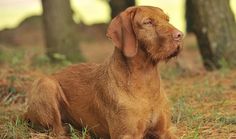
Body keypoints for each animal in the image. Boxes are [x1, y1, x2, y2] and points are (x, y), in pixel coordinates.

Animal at [26, 6, 184, 139]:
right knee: (57, 130)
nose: (180, 35)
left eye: (167, 19)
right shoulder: (126, 134)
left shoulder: (166, 130)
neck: (145, 78)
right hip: (46, 84)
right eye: (148, 22)